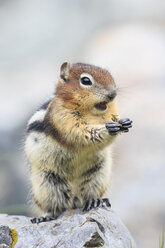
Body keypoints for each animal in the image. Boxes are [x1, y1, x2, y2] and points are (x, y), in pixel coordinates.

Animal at [24, 61, 132, 223]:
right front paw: (108, 129)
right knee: (54, 206)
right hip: (46, 183)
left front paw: (124, 122)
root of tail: (74, 201)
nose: (113, 94)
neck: (92, 114)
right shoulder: (63, 118)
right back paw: (46, 217)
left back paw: (95, 201)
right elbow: (80, 134)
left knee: (87, 195)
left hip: (98, 175)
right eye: (86, 81)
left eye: (109, 75)